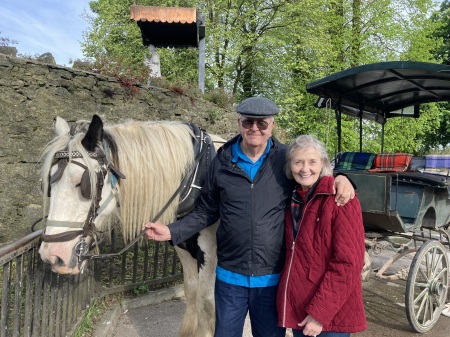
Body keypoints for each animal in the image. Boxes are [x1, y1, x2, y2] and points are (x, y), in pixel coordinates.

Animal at [37, 114, 222, 334]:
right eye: (49, 184)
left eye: (83, 184)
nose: (52, 255)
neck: (198, 177)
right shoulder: (184, 247)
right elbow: (192, 292)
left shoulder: (210, 255)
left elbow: (206, 304)